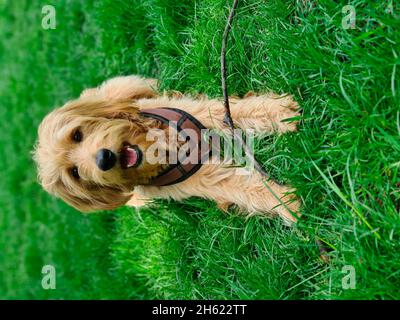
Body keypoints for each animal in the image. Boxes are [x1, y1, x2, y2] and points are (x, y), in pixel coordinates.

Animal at [33, 76, 300, 224]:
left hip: (125, 86)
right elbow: (243, 187)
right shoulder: (202, 179)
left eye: (77, 135)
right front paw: (286, 203)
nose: (103, 158)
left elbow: (232, 111)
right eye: (75, 173)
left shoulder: (199, 114)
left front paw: (280, 113)